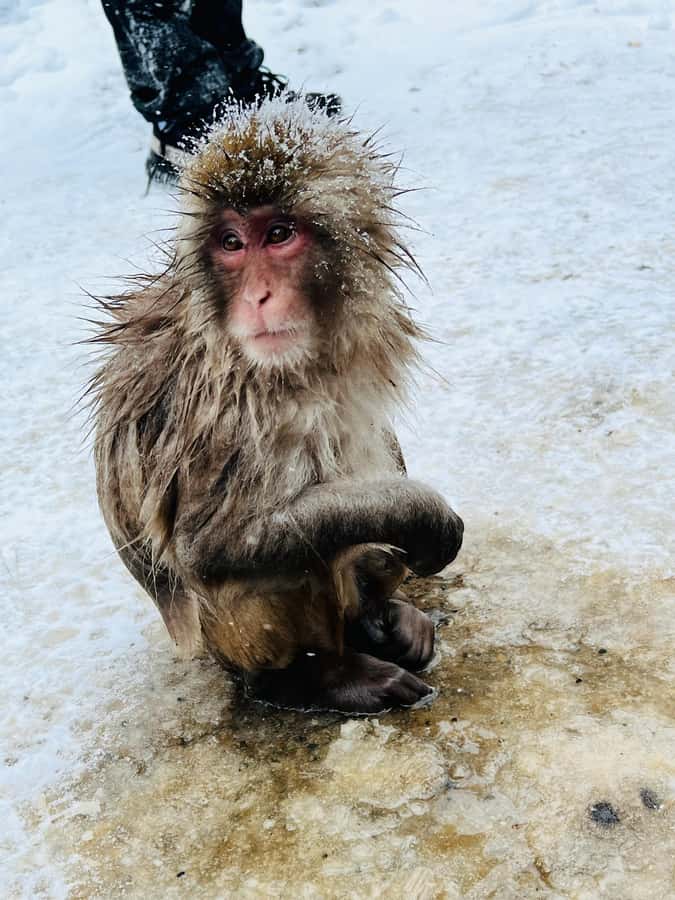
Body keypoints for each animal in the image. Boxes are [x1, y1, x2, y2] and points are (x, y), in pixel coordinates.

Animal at [89, 100, 463, 714]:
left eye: (280, 234)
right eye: (232, 243)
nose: (258, 297)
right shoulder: (216, 408)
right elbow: (209, 545)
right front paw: (420, 514)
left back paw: (377, 618)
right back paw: (314, 677)